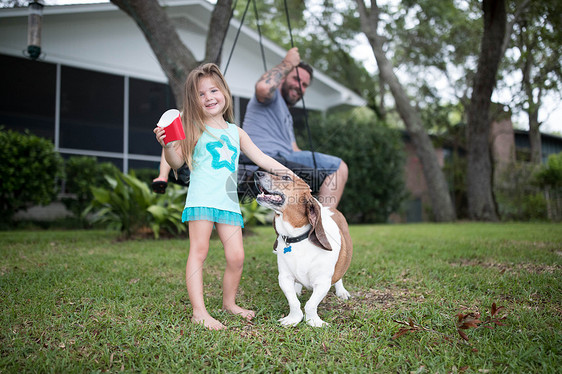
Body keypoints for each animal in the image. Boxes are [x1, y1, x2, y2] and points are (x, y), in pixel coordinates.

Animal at [253, 171, 350, 326]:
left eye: (286, 178)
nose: (257, 173)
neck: (297, 238)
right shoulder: (284, 278)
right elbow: (294, 302)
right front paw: (293, 319)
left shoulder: (323, 282)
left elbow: (310, 304)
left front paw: (314, 321)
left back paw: (341, 291)